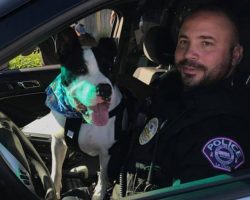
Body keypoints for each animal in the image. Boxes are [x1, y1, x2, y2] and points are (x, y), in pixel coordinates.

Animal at [23, 27, 127, 199]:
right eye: (81, 69)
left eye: (109, 69)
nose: (105, 89)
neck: (78, 118)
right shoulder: (58, 142)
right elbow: (56, 172)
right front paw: (54, 191)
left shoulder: (107, 152)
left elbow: (103, 176)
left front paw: (98, 194)